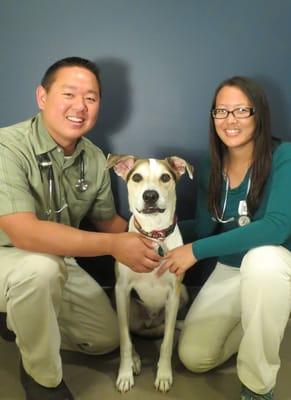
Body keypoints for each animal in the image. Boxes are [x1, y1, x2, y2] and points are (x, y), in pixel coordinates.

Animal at [106, 155, 194, 392]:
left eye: (165, 177)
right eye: (137, 177)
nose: (150, 195)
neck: (155, 235)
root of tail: (149, 323)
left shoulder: (174, 294)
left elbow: (167, 340)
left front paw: (163, 374)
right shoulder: (121, 289)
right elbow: (125, 339)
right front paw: (125, 373)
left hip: (184, 293)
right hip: (124, 304)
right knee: (129, 333)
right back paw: (135, 360)